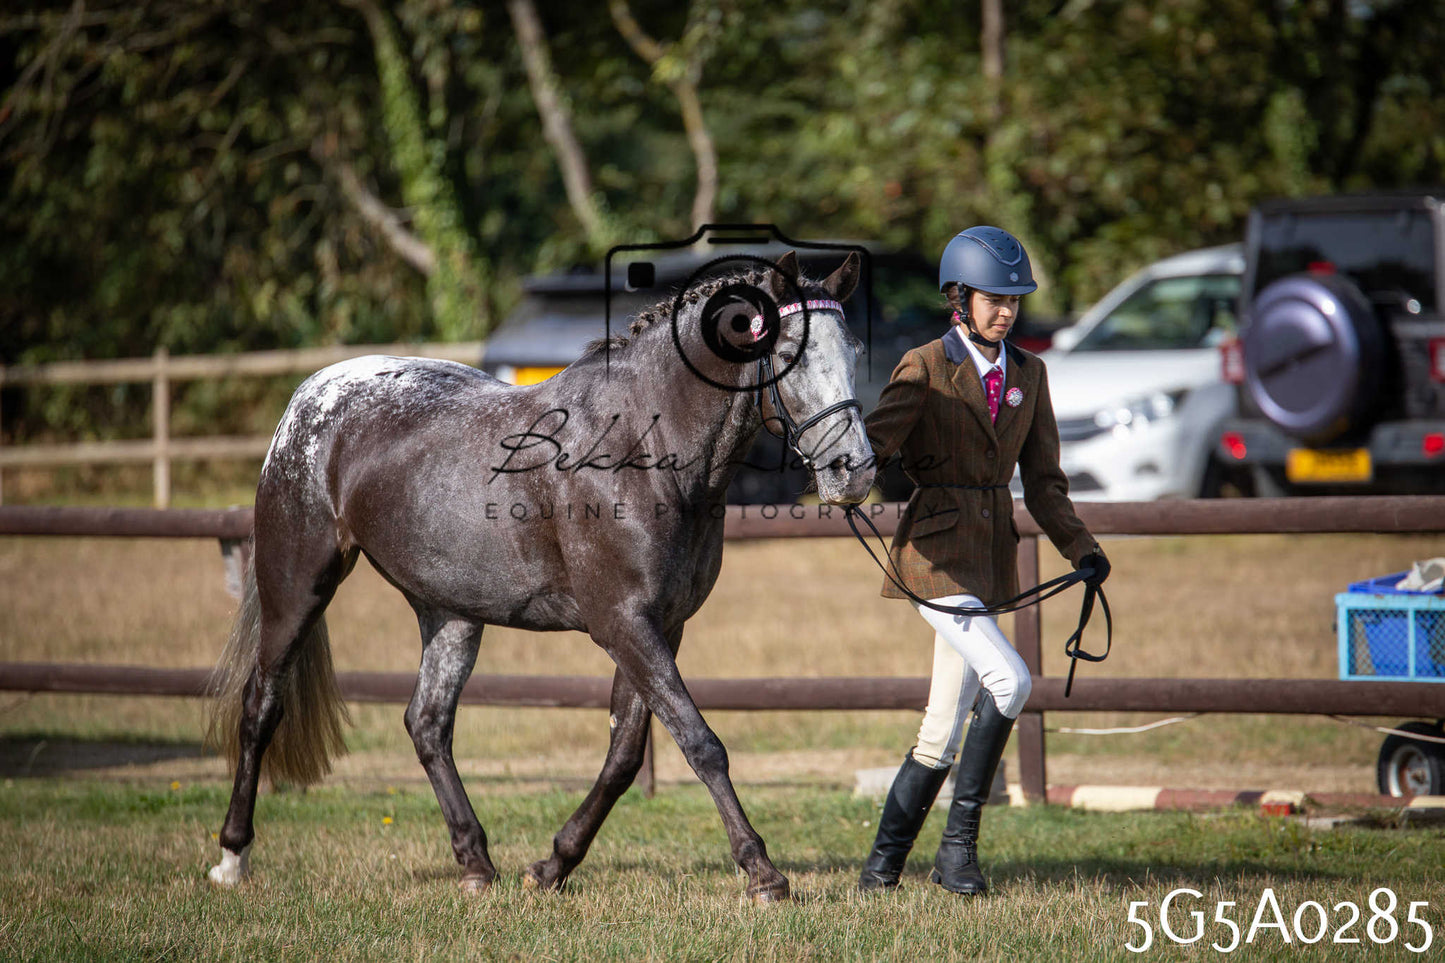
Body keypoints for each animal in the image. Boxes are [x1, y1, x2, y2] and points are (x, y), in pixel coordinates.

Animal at [205, 250, 873, 902]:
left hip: (449, 613)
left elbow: (625, 756)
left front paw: (552, 866)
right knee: (260, 706)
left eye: (856, 353)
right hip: (298, 588)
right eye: (786, 356)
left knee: (427, 723)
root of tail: (310, 399)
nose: (856, 471)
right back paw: (232, 858)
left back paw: (477, 866)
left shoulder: (660, 627)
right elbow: (700, 741)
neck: (640, 447)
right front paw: (763, 873)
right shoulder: (624, 624)